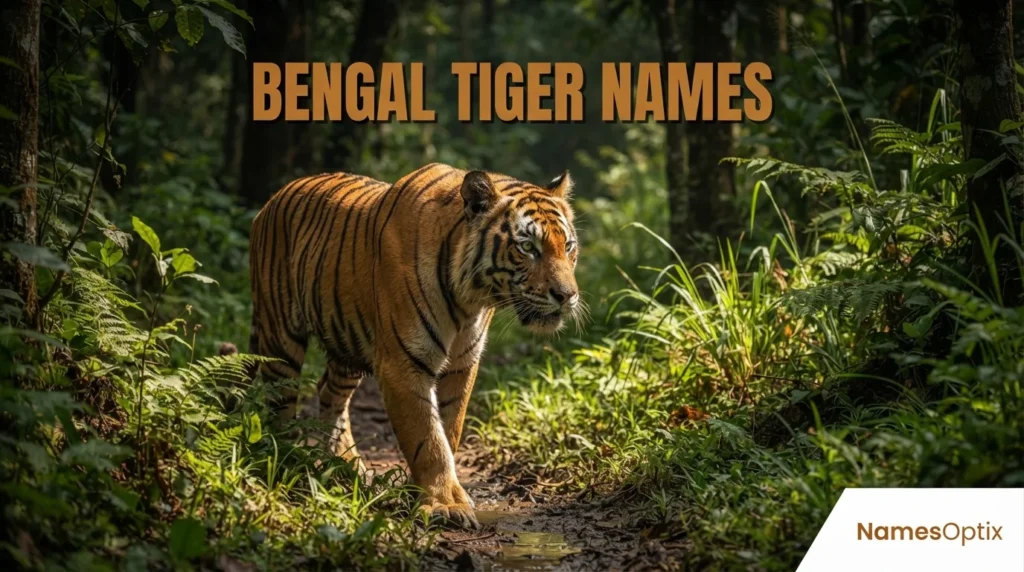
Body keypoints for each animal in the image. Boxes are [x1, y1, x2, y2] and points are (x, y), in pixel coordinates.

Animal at [248, 163, 581, 528]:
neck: (471, 299)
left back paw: (349, 468)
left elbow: (449, 428)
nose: (567, 296)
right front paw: (445, 505)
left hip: (347, 341)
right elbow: (427, 437)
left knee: (329, 393)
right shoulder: (403, 362)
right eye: (527, 247)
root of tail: (271, 200)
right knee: (280, 404)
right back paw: (286, 463)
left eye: (568, 245)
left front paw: (427, 492)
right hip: (281, 336)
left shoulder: (462, 363)